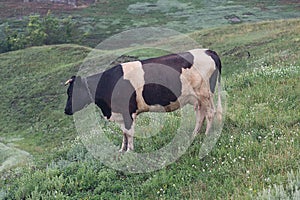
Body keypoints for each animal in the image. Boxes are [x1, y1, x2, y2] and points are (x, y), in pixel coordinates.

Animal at [64, 48, 221, 152]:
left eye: (71, 92)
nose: (66, 110)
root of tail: (208, 51)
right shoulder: (120, 114)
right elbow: (124, 133)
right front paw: (121, 151)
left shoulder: (128, 112)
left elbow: (129, 132)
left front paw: (130, 152)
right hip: (197, 98)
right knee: (200, 114)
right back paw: (194, 135)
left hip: (205, 94)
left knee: (210, 113)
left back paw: (206, 135)